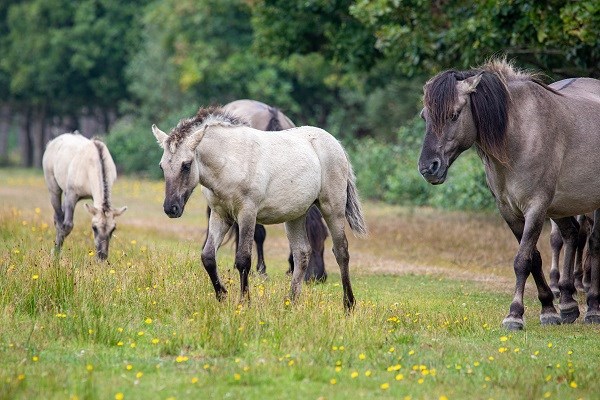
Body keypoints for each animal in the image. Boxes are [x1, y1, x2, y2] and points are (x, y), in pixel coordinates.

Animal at [418, 57, 600, 330]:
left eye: (455, 114)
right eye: (425, 116)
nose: (428, 167)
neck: (519, 136)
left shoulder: (536, 207)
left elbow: (522, 260)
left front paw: (515, 315)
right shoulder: (509, 211)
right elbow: (534, 258)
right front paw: (549, 309)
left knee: (595, 243)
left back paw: (593, 309)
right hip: (564, 206)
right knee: (570, 235)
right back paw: (568, 305)